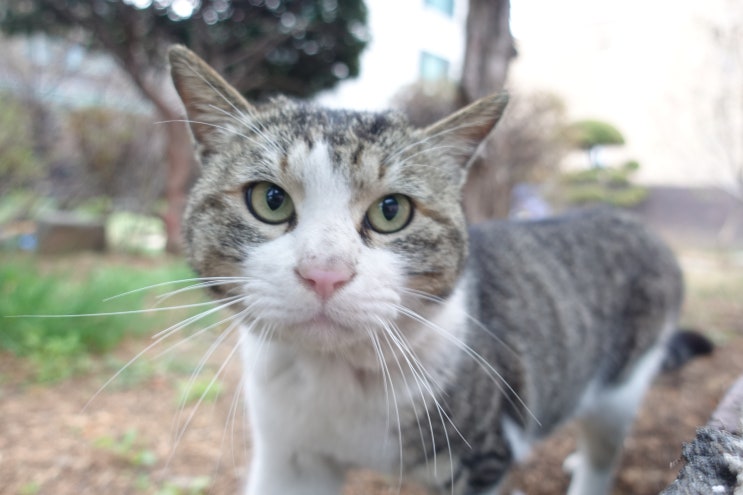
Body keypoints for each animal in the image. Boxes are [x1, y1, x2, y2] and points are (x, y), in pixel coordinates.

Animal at [167, 44, 711, 495]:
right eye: (270, 200)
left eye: (391, 211)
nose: (325, 272)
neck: (336, 377)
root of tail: (629, 219)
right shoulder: (290, 457)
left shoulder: (484, 458)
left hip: (623, 385)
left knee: (603, 452)